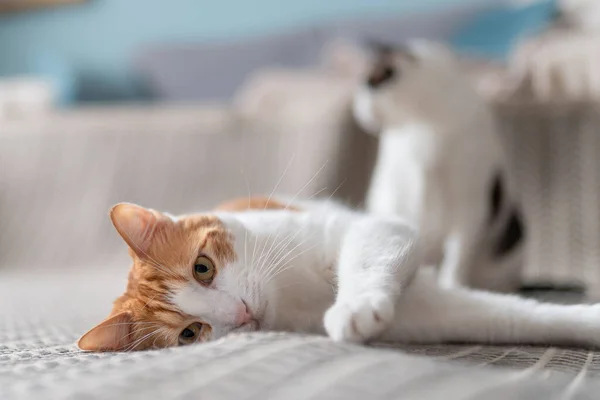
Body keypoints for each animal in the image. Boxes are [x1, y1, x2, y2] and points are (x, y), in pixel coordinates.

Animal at [78, 198, 600, 352]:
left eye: (202, 268)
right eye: (190, 332)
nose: (241, 313)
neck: (288, 296)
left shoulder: (373, 231)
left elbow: (367, 260)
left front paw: (355, 305)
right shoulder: (428, 313)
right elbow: (512, 319)